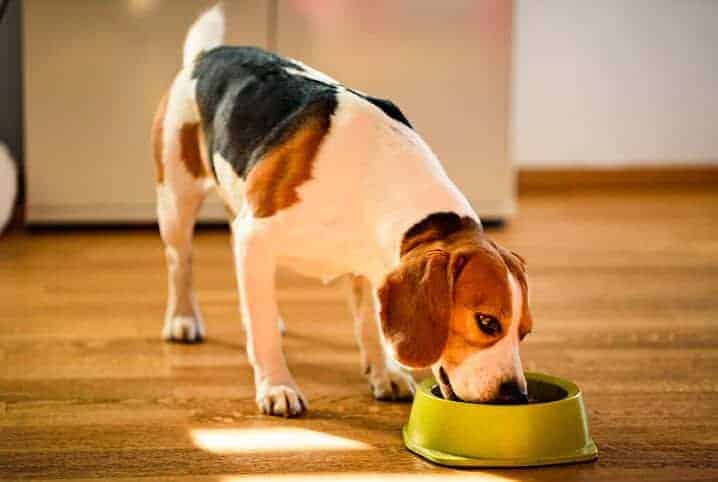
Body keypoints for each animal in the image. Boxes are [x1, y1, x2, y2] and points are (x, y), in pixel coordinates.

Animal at [152, 5, 536, 416]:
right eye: (487, 322)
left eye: (525, 332)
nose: (516, 395)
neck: (374, 173)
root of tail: (207, 54)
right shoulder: (255, 236)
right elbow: (264, 332)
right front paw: (277, 386)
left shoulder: (369, 267)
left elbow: (369, 324)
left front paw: (384, 373)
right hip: (176, 202)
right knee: (181, 264)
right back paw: (183, 319)